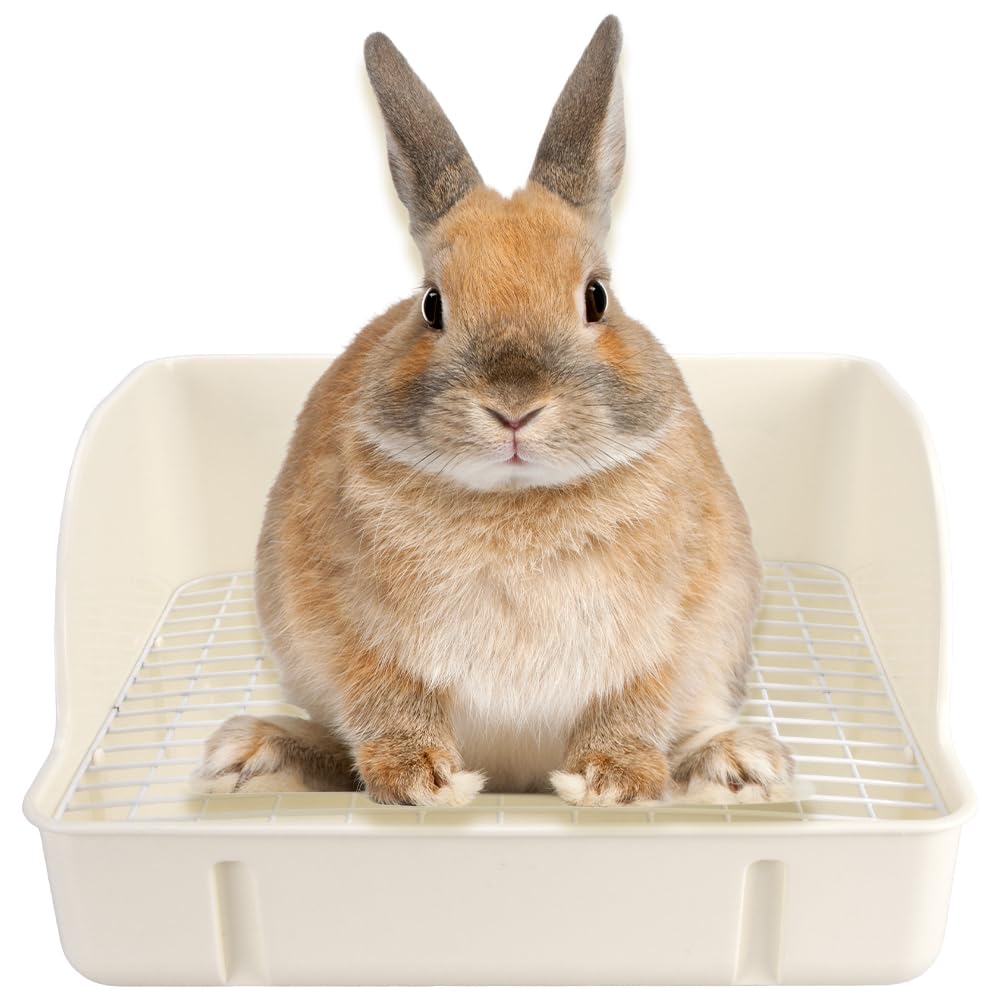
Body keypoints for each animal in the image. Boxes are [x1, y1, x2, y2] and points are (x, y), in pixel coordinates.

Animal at [195, 15, 795, 807]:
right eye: (431, 304)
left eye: (596, 297)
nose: (514, 409)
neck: (515, 504)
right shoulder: (353, 634)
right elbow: (388, 703)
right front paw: (421, 782)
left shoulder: (662, 641)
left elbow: (632, 708)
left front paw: (612, 784)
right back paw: (255, 755)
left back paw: (738, 765)